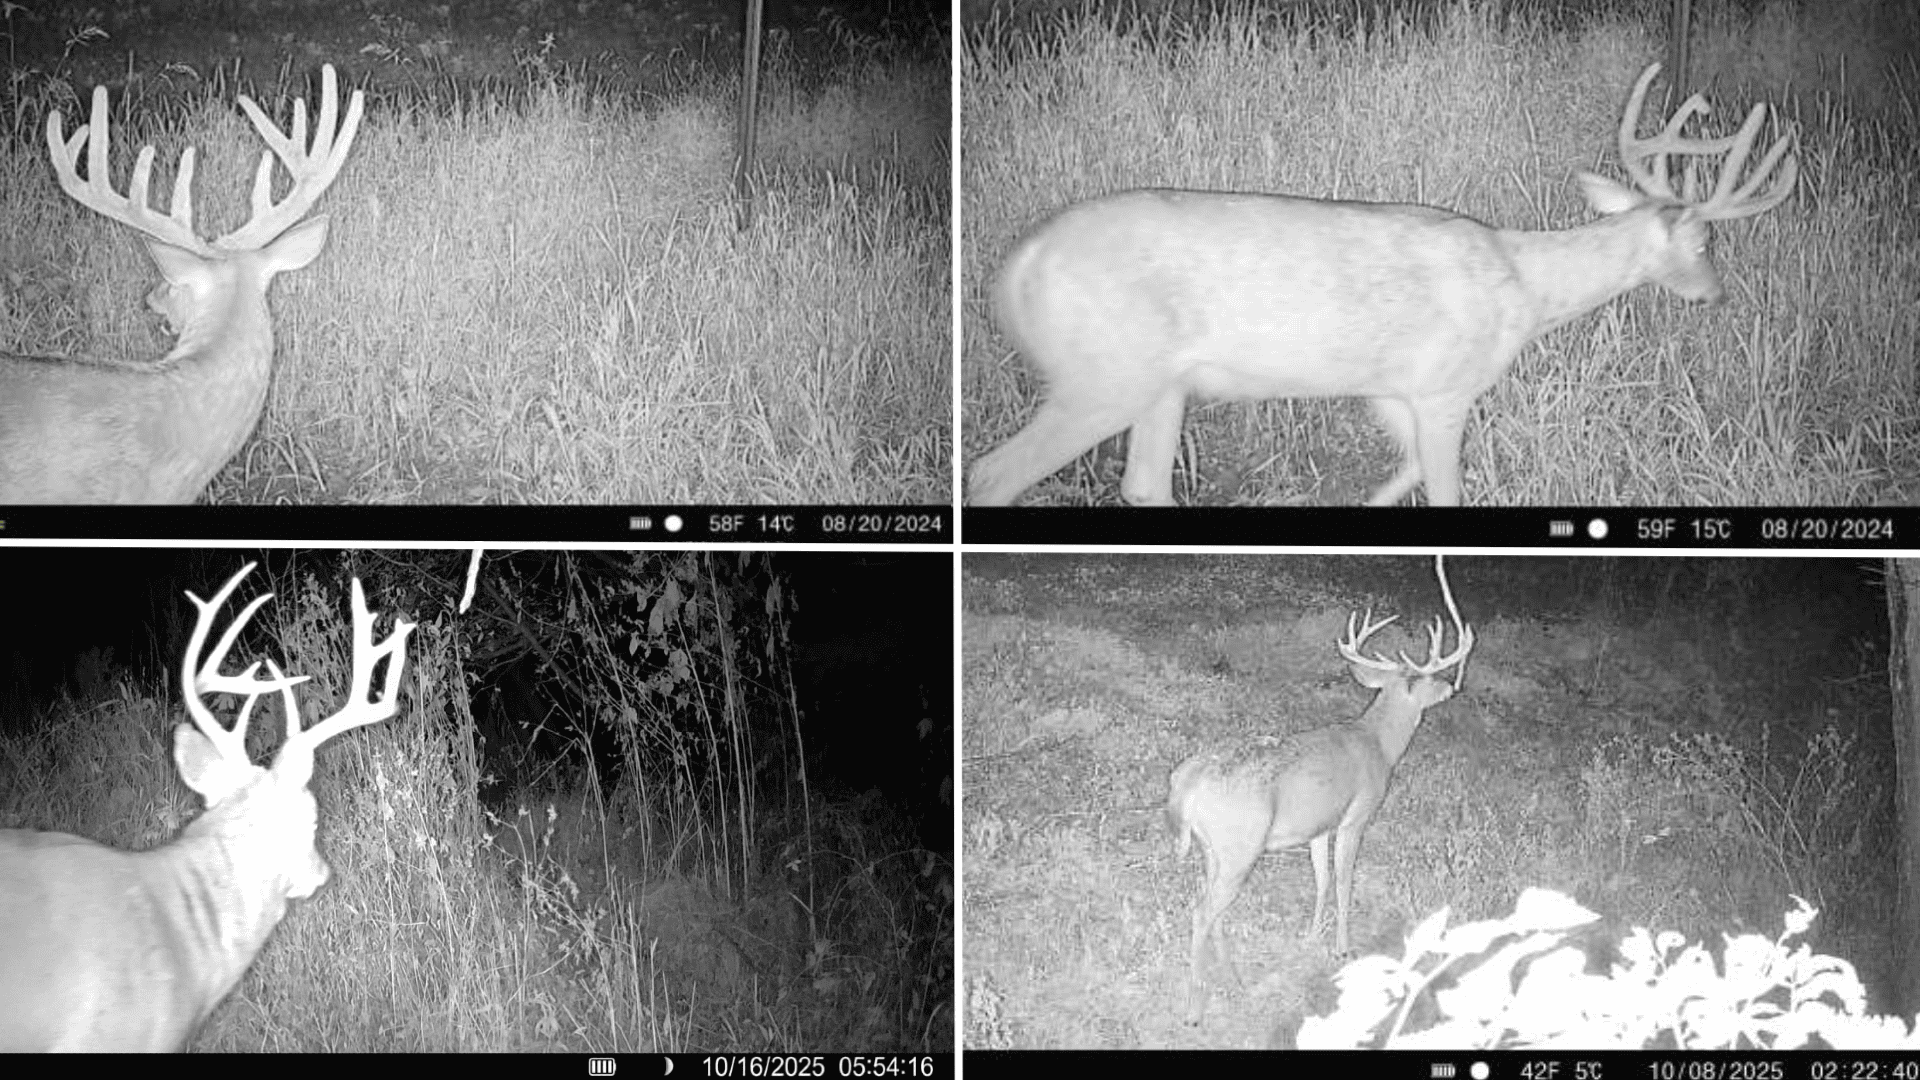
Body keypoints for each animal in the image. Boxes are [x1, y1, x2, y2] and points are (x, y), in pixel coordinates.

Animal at [967, 63, 1799, 506]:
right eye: (1706, 239)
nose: (1716, 295)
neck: (1525, 289)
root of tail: (1016, 268)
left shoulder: (1390, 391)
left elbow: (1405, 472)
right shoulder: (1445, 387)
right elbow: (1448, 488)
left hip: (1159, 385)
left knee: (1143, 485)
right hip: (1104, 374)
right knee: (991, 472)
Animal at [1167, 555, 1473, 1025]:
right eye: (1432, 676)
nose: (1453, 686)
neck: (1379, 744)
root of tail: (1186, 783)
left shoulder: (1318, 828)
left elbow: (1322, 879)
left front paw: (1311, 936)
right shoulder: (1356, 817)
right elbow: (1345, 880)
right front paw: (1344, 947)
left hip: (1211, 849)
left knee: (1210, 909)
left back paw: (1235, 981)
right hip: (1239, 848)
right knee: (1203, 913)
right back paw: (1194, 1010)